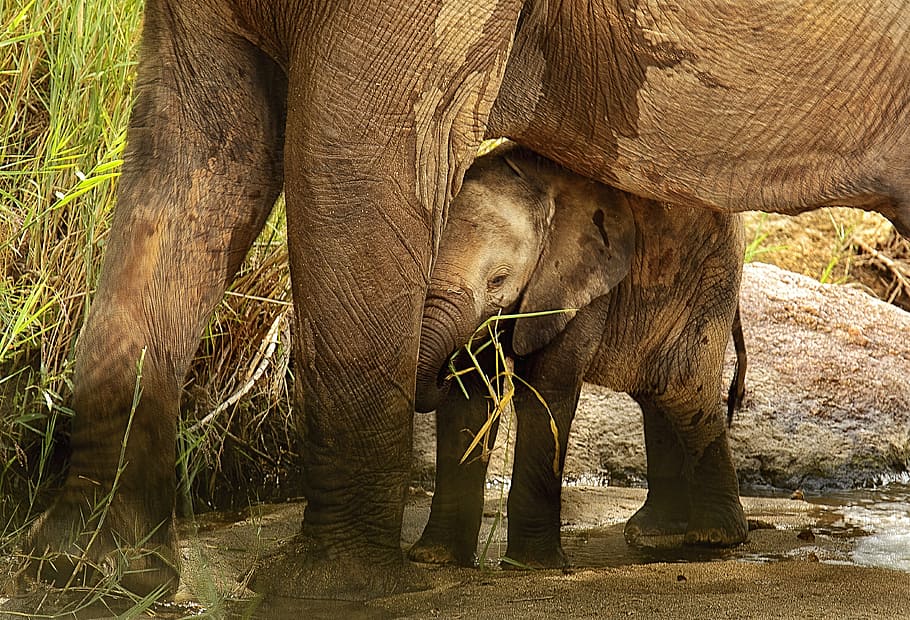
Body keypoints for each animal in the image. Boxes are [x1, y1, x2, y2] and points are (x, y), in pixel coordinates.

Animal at [411, 143, 747, 567]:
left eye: (498, 280)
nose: (441, 368)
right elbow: (470, 399)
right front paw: (434, 558)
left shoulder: (580, 278)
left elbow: (546, 389)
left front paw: (531, 566)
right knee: (658, 398)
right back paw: (656, 535)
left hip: (710, 281)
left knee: (684, 393)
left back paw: (713, 538)